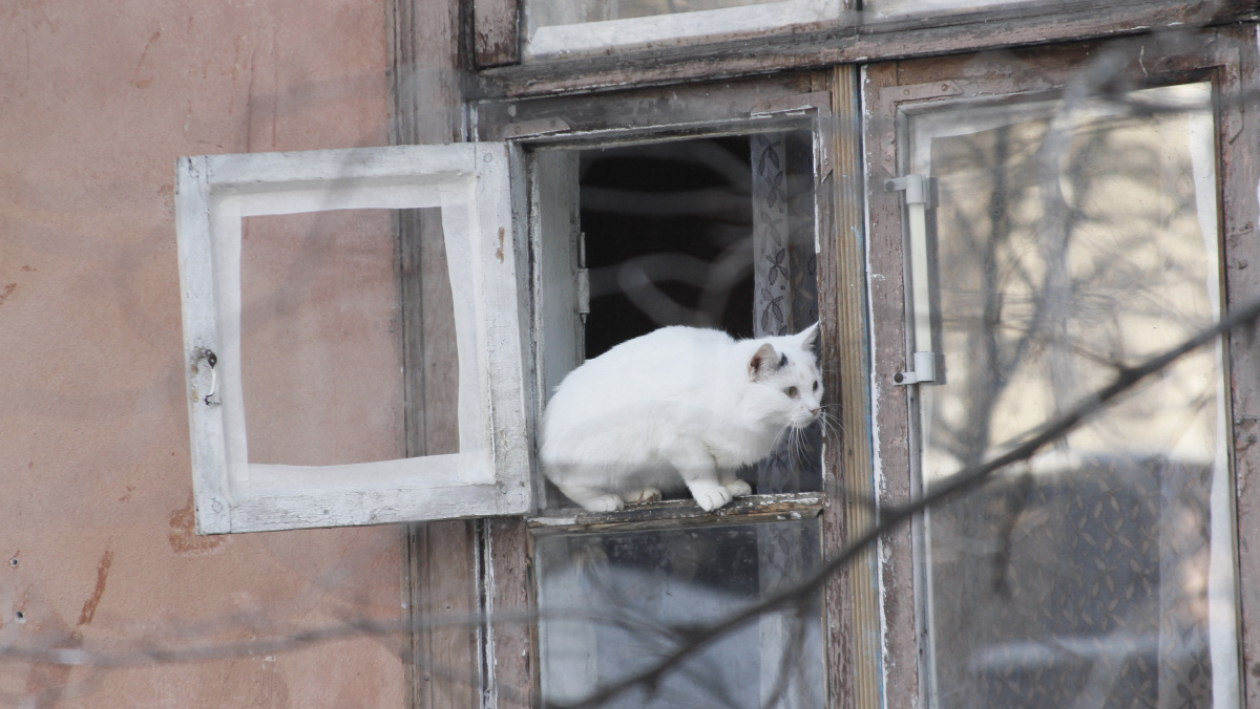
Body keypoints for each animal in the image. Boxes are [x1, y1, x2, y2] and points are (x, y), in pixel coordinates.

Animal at [541, 324, 826, 513]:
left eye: (815, 386)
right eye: (790, 392)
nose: (816, 410)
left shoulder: (725, 443)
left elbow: (724, 466)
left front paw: (731, 485)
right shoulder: (679, 439)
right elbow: (702, 468)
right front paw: (712, 493)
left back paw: (639, 493)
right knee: (571, 485)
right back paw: (604, 501)